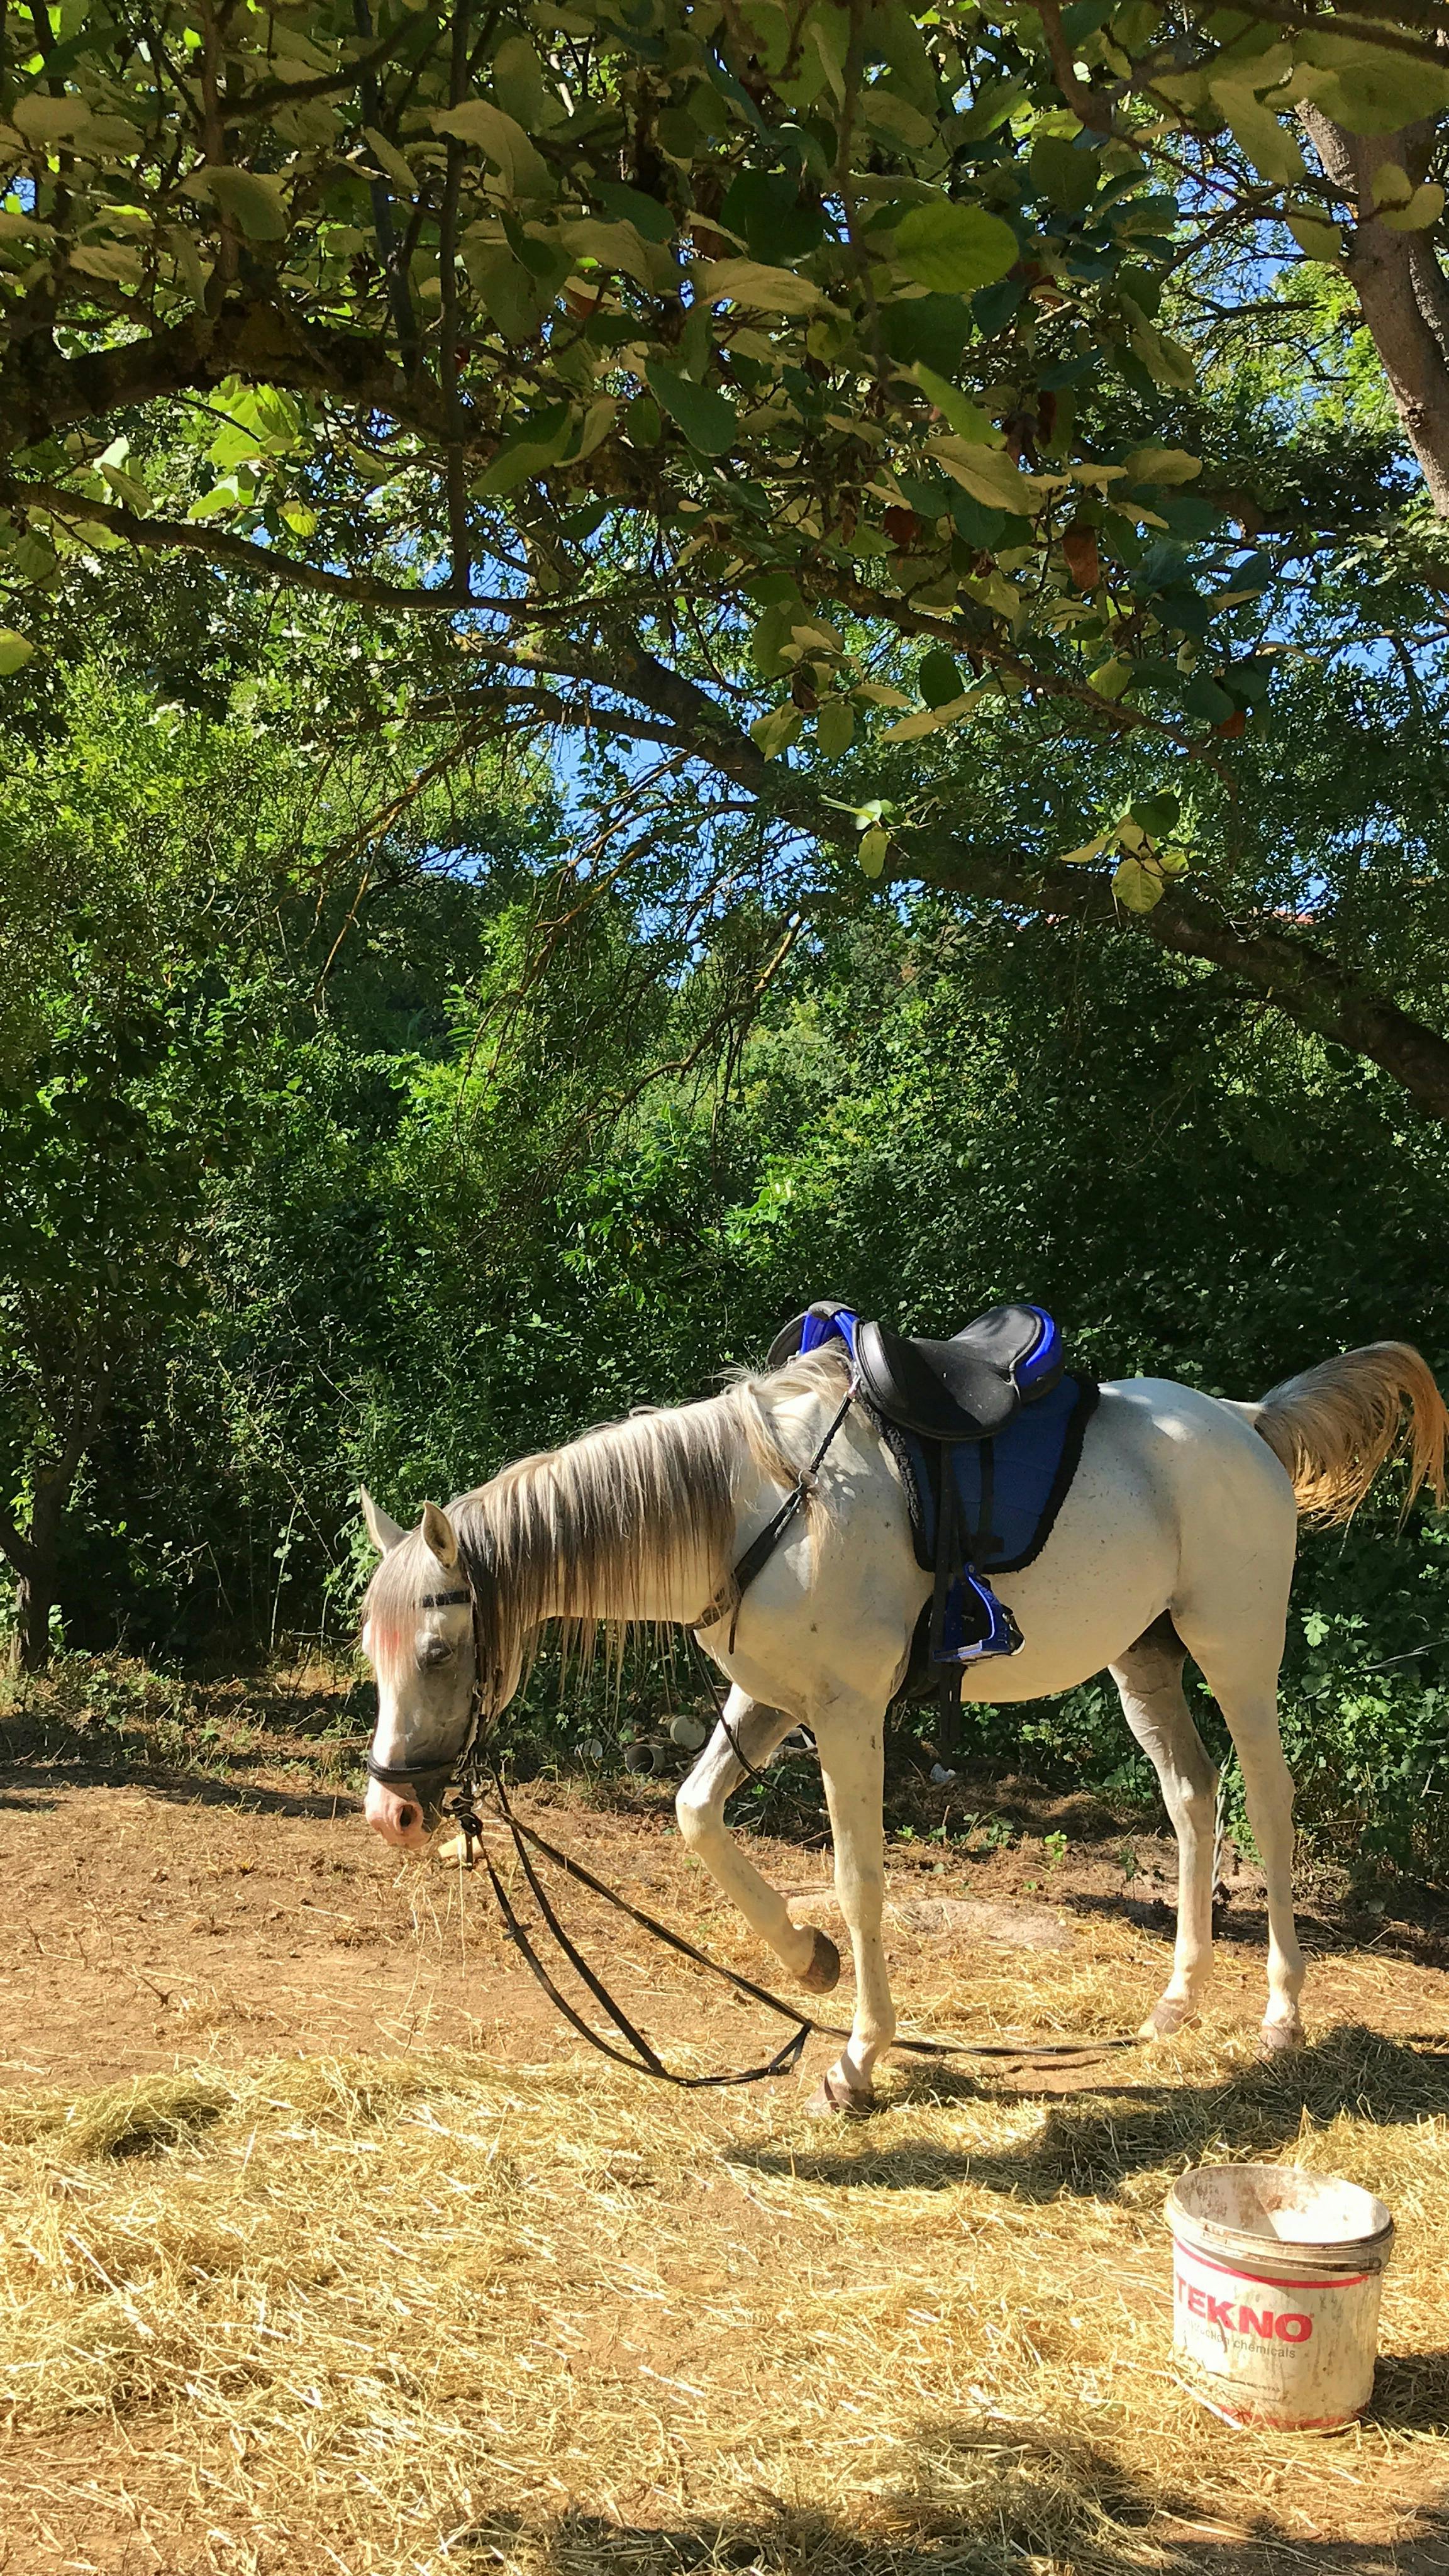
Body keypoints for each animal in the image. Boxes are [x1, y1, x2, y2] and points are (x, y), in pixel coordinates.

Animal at [357, 1336, 1446, 2116]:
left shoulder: (847, 1716)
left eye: (441, 1652)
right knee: (1192, 1797)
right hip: (1145, 1659)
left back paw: (1282, 2016)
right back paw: (1176, 2002)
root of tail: (1244, 1420)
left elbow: (858, 1880)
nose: (392, 1815)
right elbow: (696, 1815)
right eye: (373, 1652)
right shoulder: (767, 1702)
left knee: (1268, 1802)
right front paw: (806, 1959)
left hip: (1237, 1652)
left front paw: (858, 2059)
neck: (752, 1509)